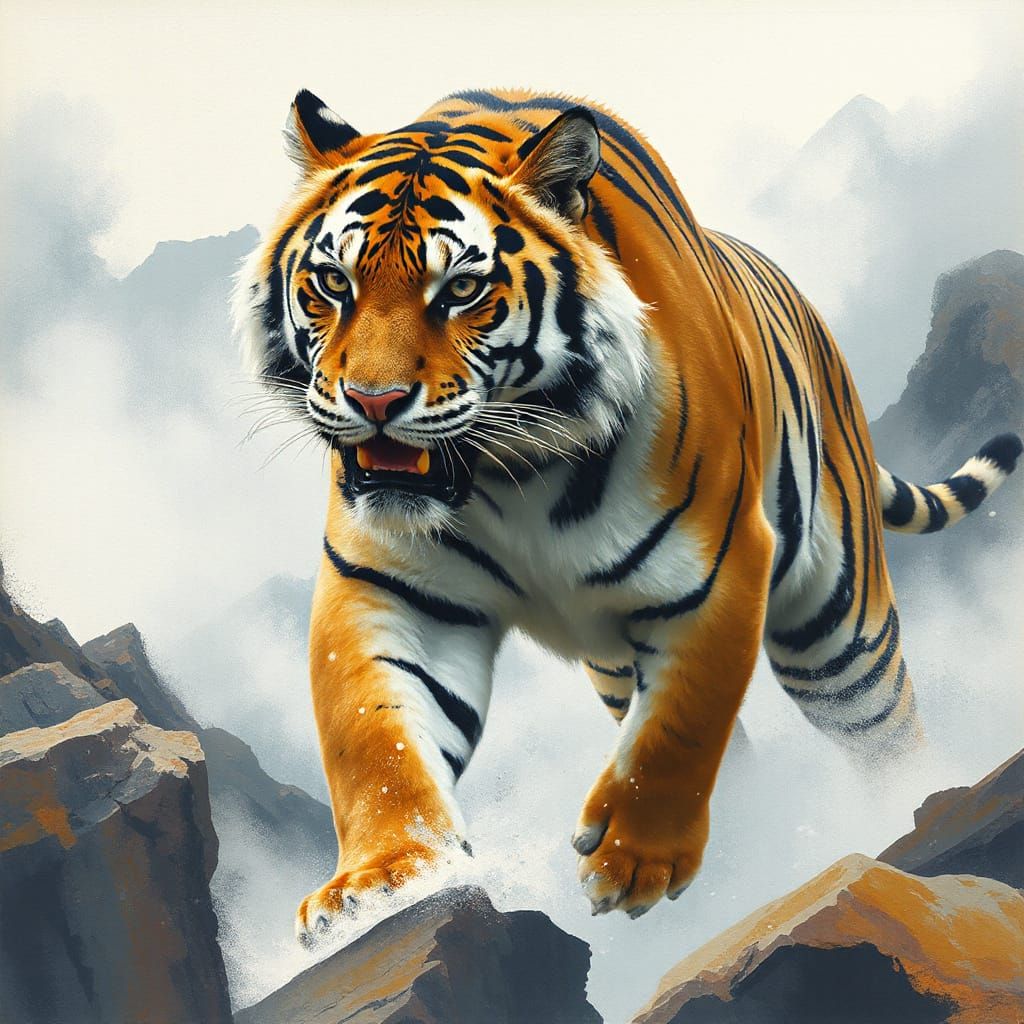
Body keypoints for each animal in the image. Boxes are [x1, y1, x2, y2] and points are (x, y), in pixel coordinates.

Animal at [235, 87, 1022, 941]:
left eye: (461, 292)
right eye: (332, 283)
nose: (373, 402)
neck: (508, 473)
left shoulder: (718, 567)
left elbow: (685, 722)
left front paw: (635, 861)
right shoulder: (389, 586)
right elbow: (372, 737)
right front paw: (379, 881)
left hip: (839, 637)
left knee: (884, 727)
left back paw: (903, 804)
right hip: (614, 662)